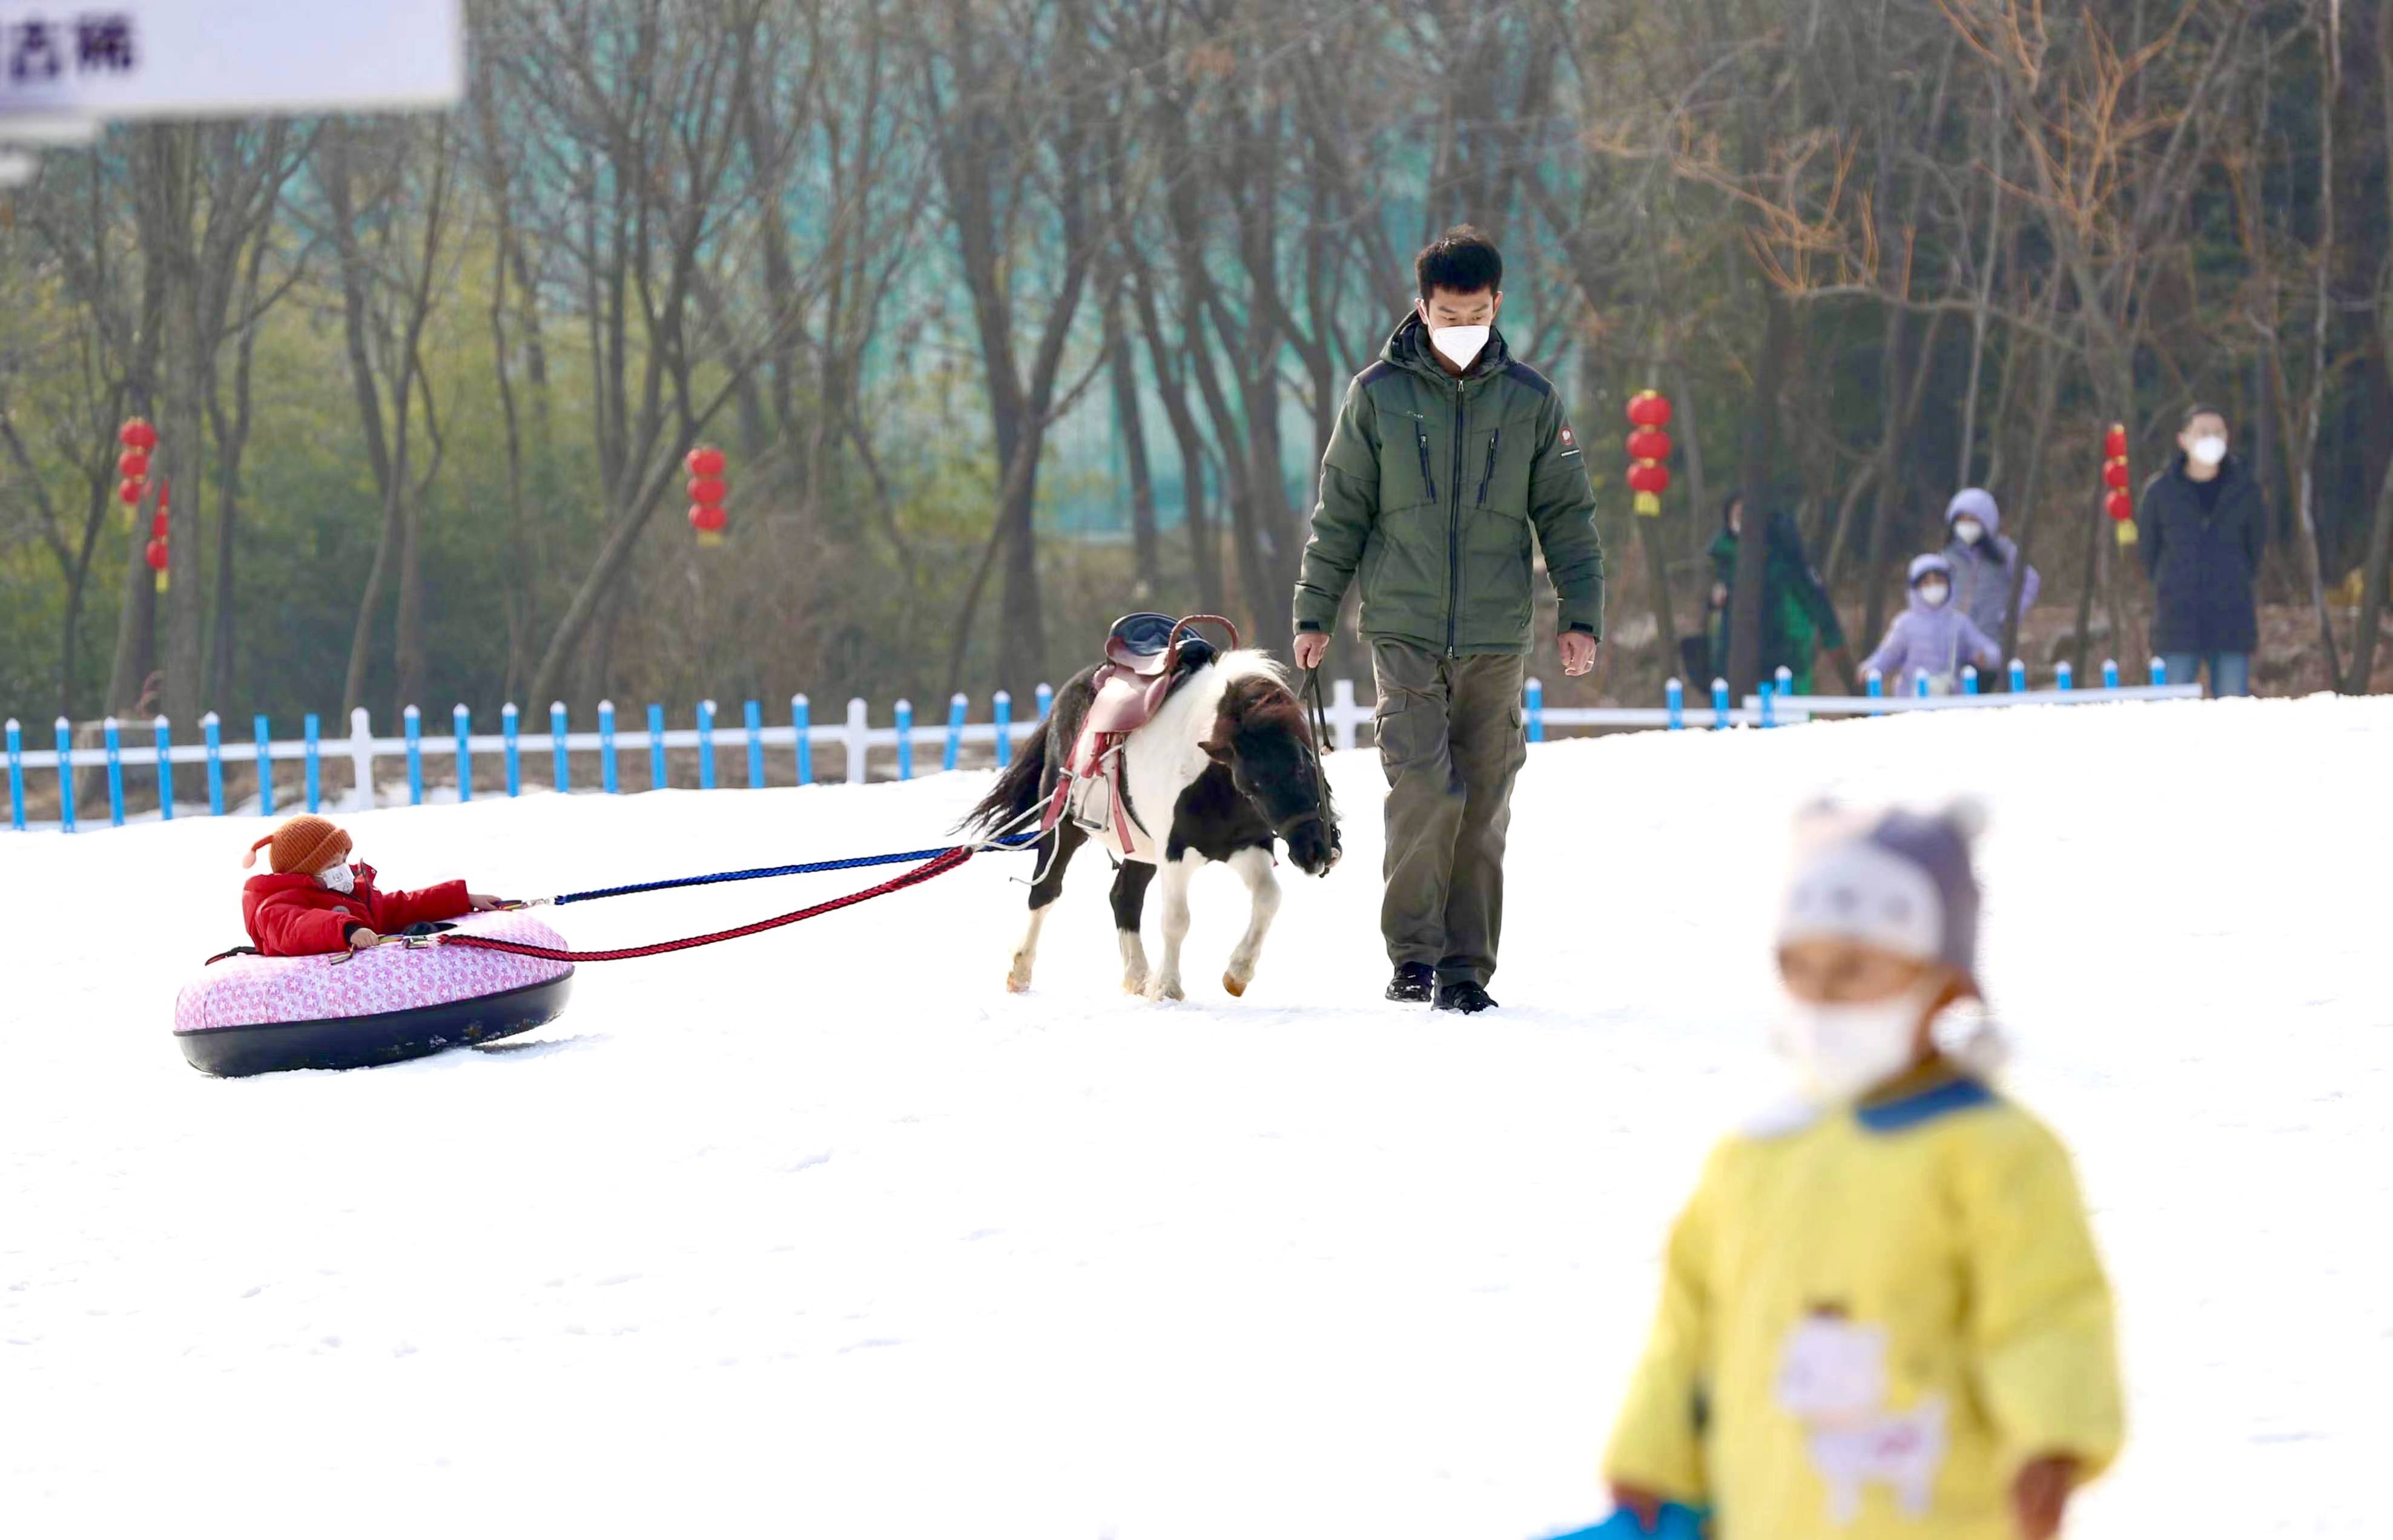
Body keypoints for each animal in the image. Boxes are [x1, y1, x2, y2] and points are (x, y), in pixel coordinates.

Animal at [962, 645, 1340, 999]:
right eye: (1251, 786)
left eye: (1304, 764)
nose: (1315, 851)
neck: (1211, 780)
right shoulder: (1174, 853)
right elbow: (1176, 920)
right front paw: (1168, 988)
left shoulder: (1248, 846)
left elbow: (1268, 898)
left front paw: (1238, 973)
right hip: (1063, 828)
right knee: (1045, 892)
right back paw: (1021, 972)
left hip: (1141, 849)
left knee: (1123, 896)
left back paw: (1137, 975)